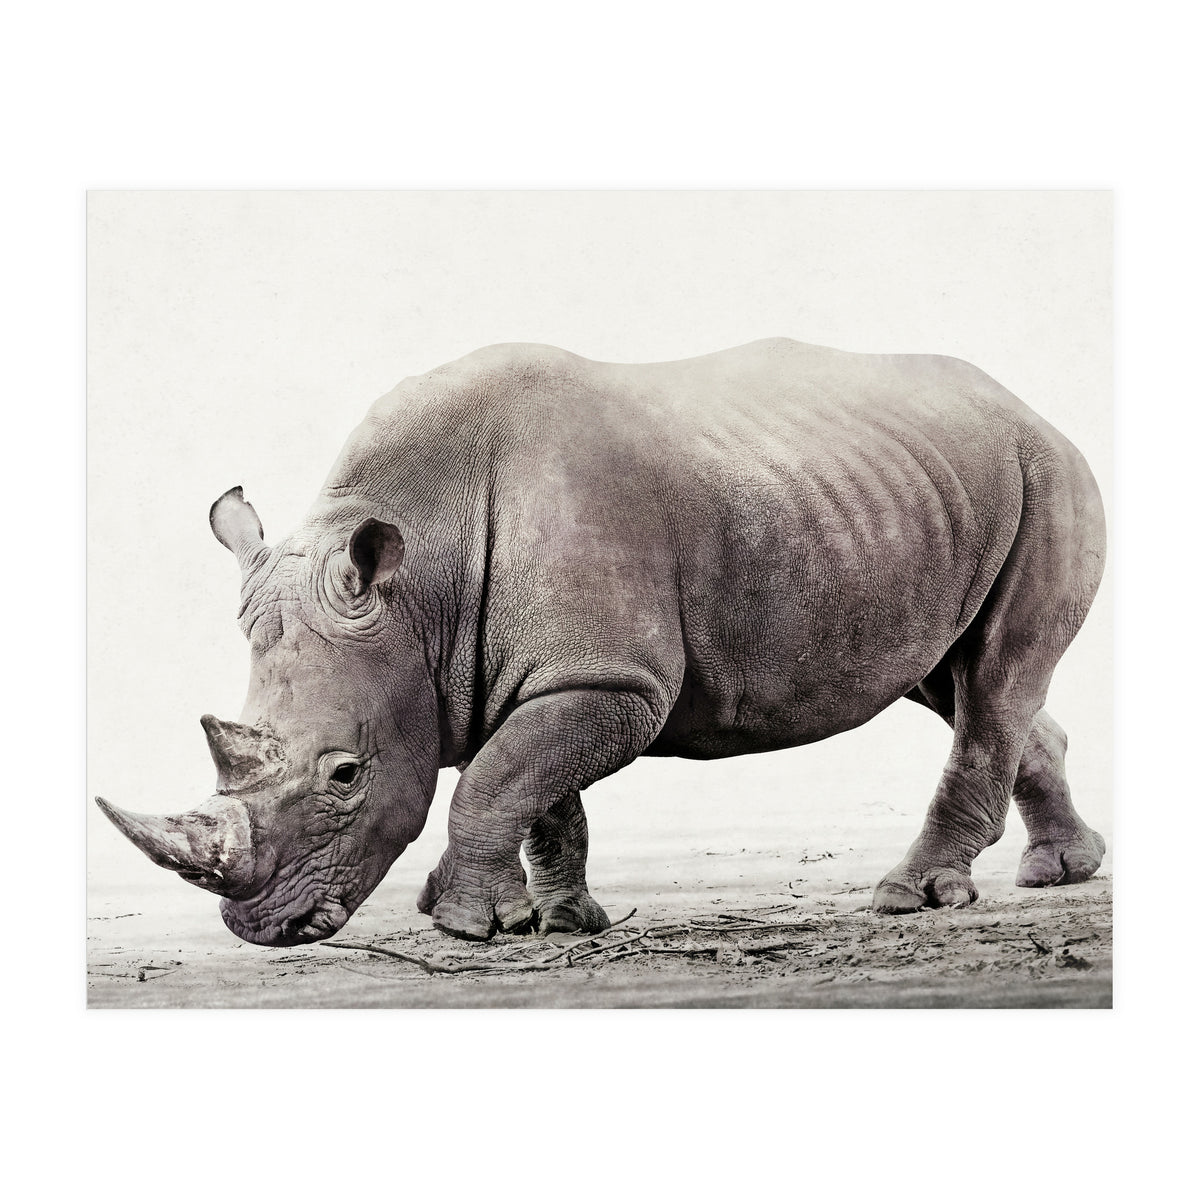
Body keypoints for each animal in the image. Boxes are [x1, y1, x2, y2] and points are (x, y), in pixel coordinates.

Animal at [96, 338, 1107, 945]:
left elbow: (499, 779)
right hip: (917, 493)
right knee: (958, 681)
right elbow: (537, 789)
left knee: (993, 678)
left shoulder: (610, 678)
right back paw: (1061, 872)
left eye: (344, 775)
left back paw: (913, 897)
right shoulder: (544, 673)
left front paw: (464, 927)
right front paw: (559, 920)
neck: (421, 583)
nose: (261, 928)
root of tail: (1028, 406)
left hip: (1048, 474)